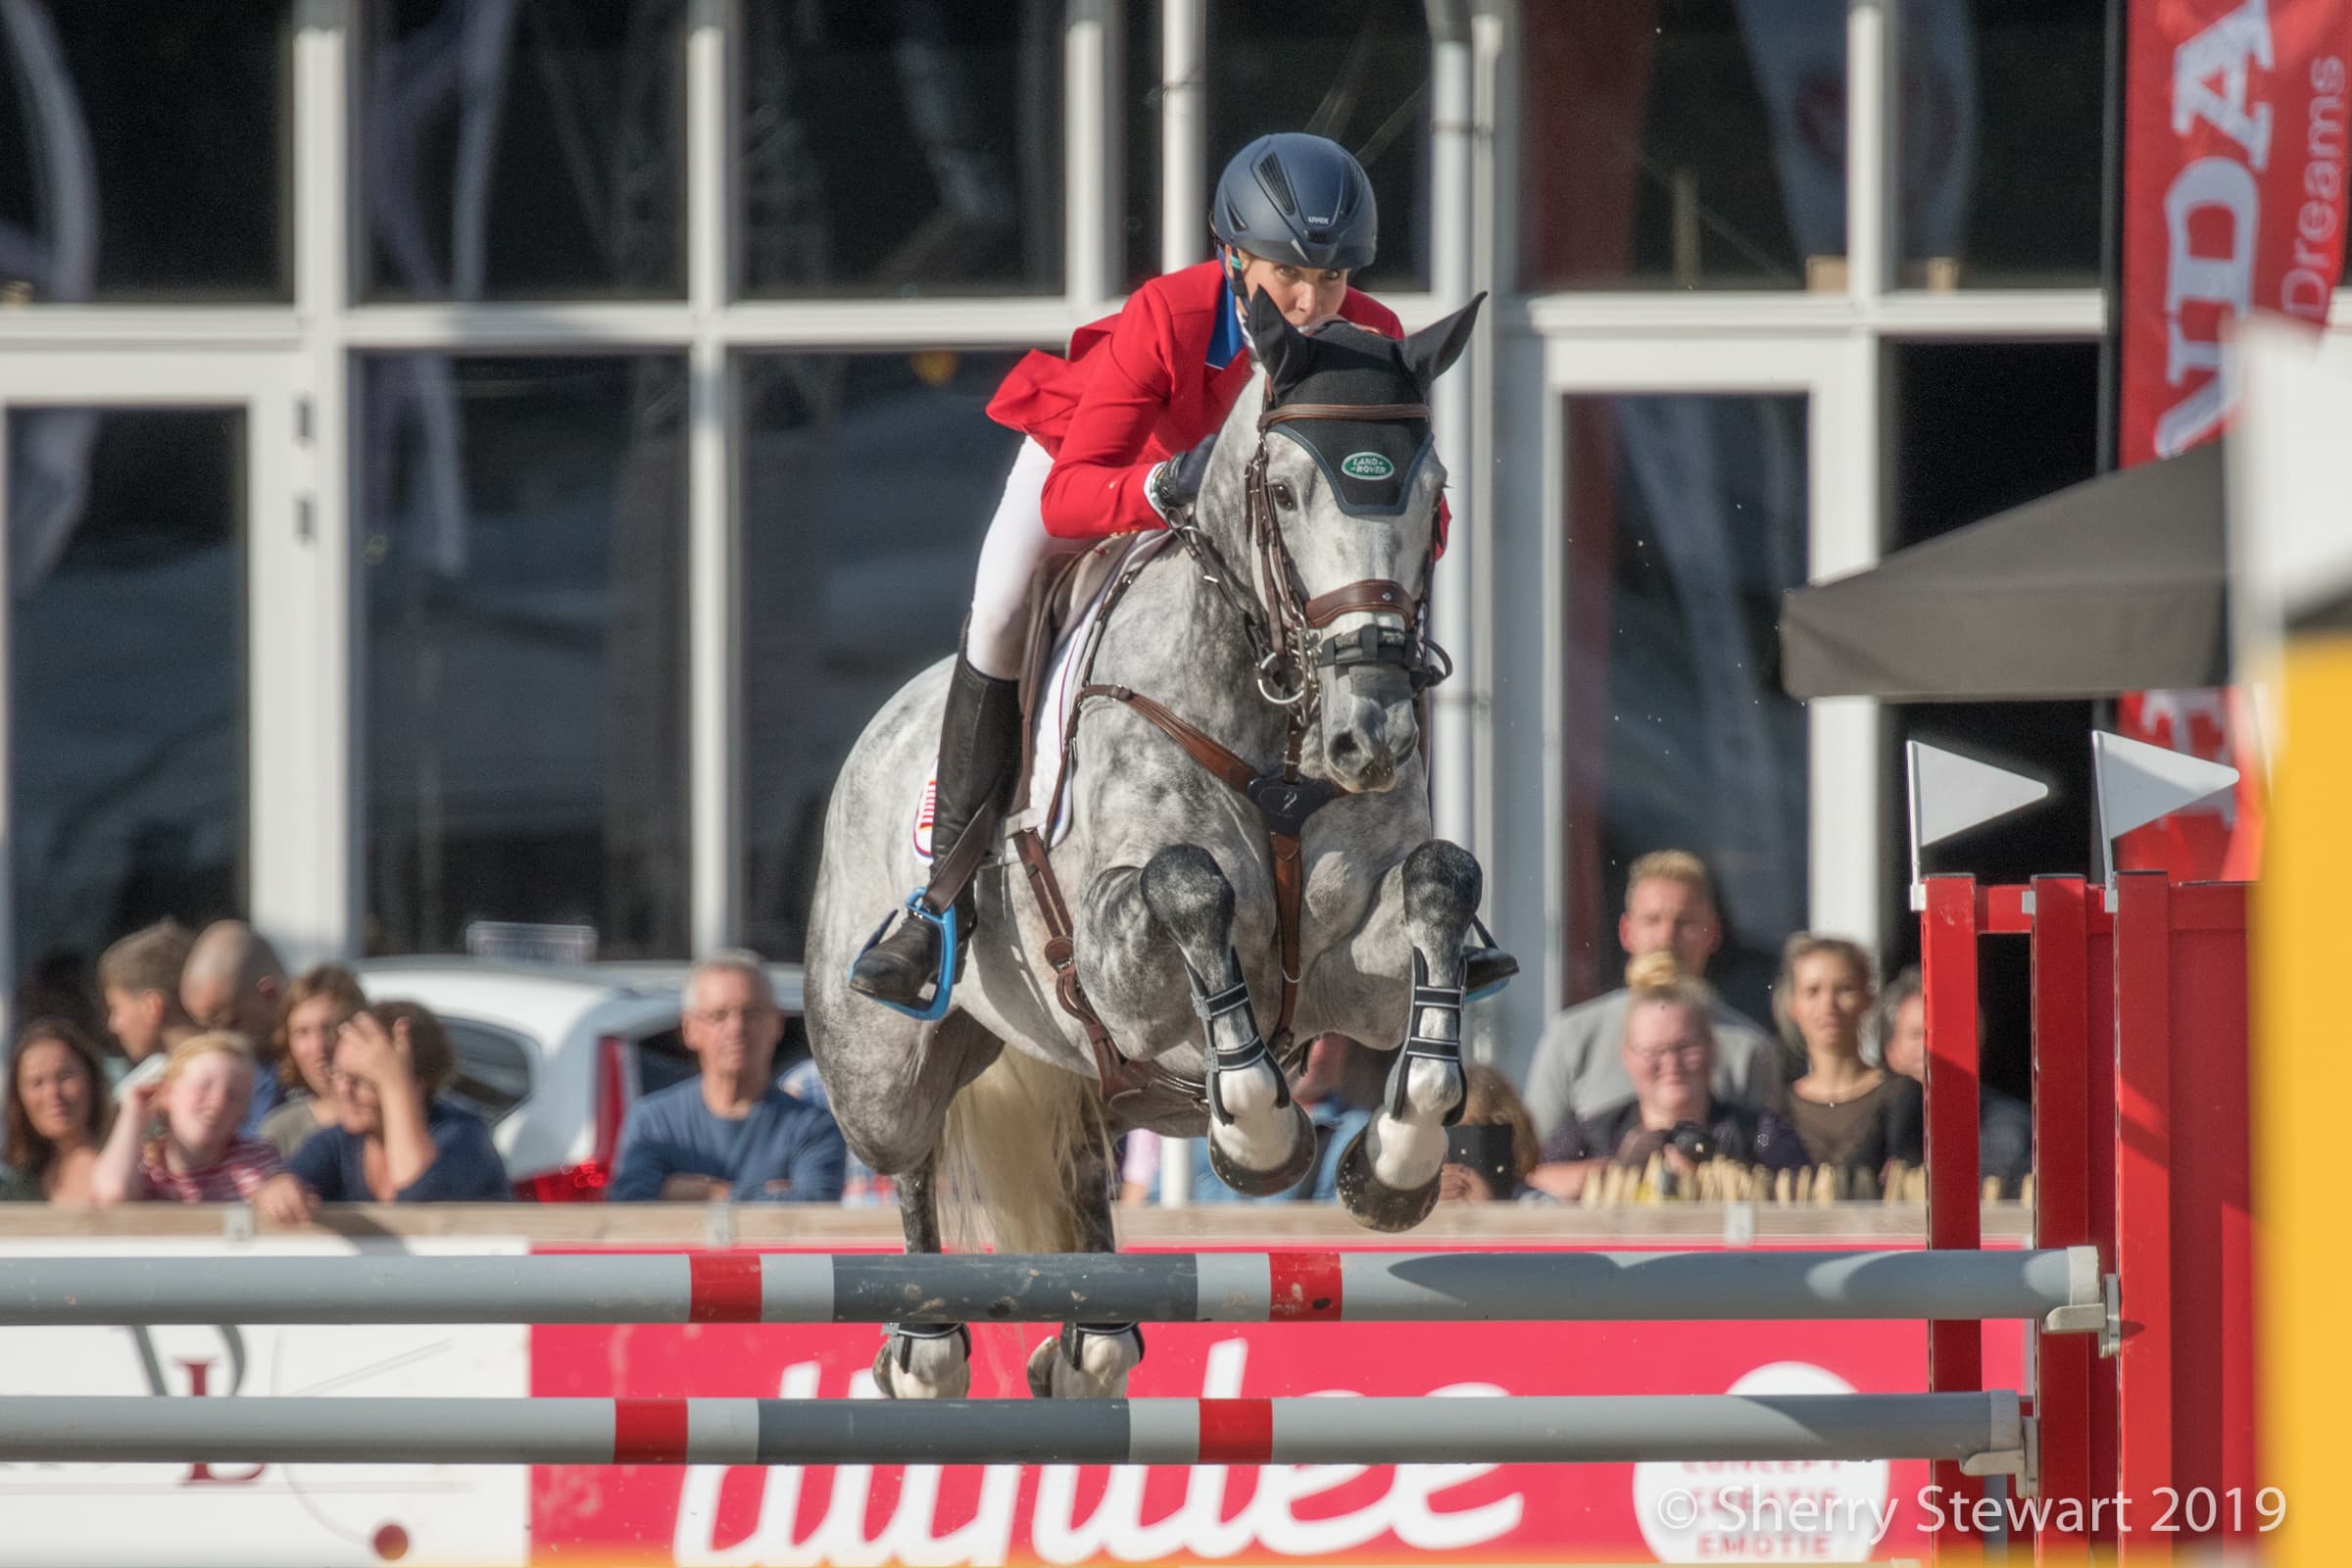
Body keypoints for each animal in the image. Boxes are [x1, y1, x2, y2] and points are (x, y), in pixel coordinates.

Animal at [805, 288, 1490, 1401]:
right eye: (1287, 492)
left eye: (1431, 498)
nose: (1374, 734)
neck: (1275, 730)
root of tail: (878, 734)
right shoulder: (1117, 964)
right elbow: (1188, 883)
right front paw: (1259, 1133)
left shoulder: (1353, 981)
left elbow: (1441, 882)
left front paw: (1395, 1162)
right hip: (883, 1064)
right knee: (906, 1152)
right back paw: (924, 1351)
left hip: (1091, 1085)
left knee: (1083, 1172)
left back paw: (1087, 1345)